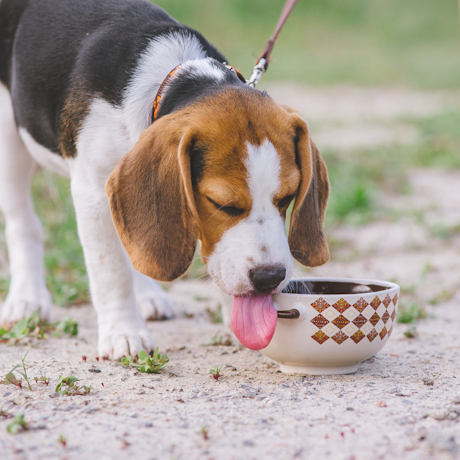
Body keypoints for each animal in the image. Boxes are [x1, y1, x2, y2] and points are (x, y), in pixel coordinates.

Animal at [0, 0, 330, 360]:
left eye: (286, 198)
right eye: (222, 204)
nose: (270, 277)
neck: (173, 79)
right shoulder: (93, 194)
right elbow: (111, 269)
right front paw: (123, 332)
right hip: (9, 138)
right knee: (23, 223)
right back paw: (27, 300)